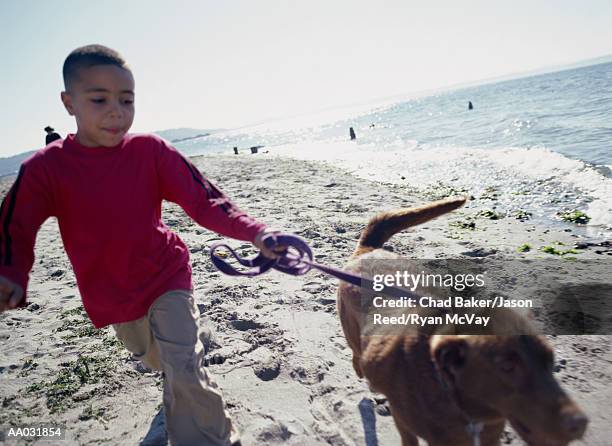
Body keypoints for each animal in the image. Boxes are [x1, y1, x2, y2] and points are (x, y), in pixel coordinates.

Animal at [338, 198, 592, 446]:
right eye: (507, 367)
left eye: (550, 360)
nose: (580, 424)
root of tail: (369, 249)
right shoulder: (404, 421)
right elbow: (408, 437)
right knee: (356, 353)